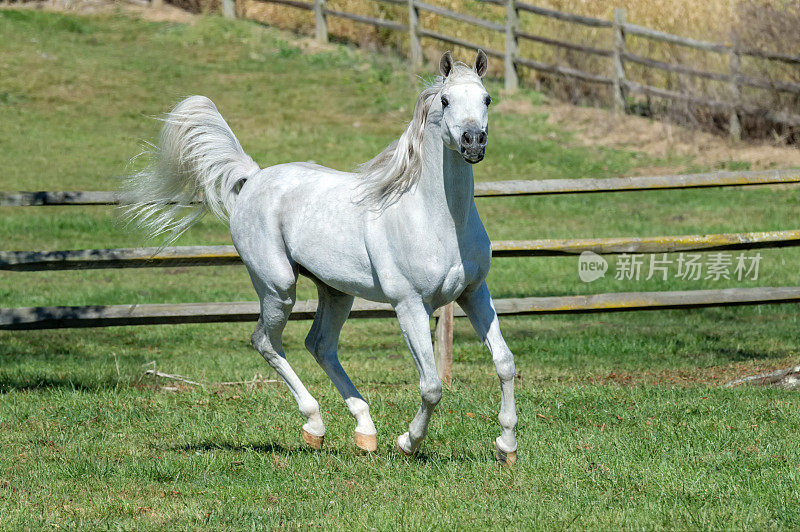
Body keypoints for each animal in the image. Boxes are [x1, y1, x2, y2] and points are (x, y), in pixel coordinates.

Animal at [119, 51, 520, 466]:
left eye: (487, 99)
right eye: (445, 100)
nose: (473, 142)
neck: (433, 217)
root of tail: (254, 178)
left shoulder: (474, 293)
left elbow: (505, 364)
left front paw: (506, 446)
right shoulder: (409, 304)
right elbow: (431, 386)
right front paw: (408, 442)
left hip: (336, 292)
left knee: (320, 345)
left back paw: (365, 432)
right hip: (278, 287)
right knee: (265, 341)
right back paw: (315, 426)